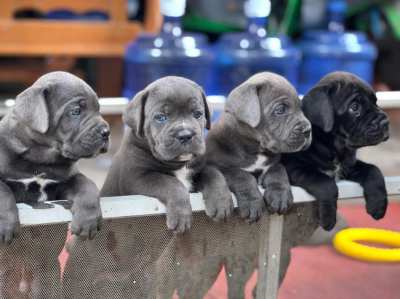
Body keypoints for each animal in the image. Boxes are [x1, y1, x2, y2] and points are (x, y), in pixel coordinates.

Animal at [0, 71, 109, 244]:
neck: (40, 160)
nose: (106, 132)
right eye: (76, 111)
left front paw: (88, 220)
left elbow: (86, 183)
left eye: (98, 109)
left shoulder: (64, 183)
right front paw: (6, 224)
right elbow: (2, 191)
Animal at [101, 76, 234, 233]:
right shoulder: (138, 177)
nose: (185, 135)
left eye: (197, 114)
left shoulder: (198, 168)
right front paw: (181, 216)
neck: (179, 164)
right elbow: (171, 183)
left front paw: (221, 201)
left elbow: (213, 173)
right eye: (160, 117)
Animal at [206, 72, 312, 223]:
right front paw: (252, 202)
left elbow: (279, 171)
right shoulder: (221, 166)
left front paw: (280, 195)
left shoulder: (272, 164)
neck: (255, 149)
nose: (308, 130)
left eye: (301, 108)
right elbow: (242, 175)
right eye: (280, 110)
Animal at [282, 71, 390, 231]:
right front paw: (328, 219)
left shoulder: (349, 166)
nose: (385, 122)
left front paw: (378, 206)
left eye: (375, 101)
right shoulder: (295, 167)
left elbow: (373, 170)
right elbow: (326, 184)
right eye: (354, 107)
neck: (335, 148)